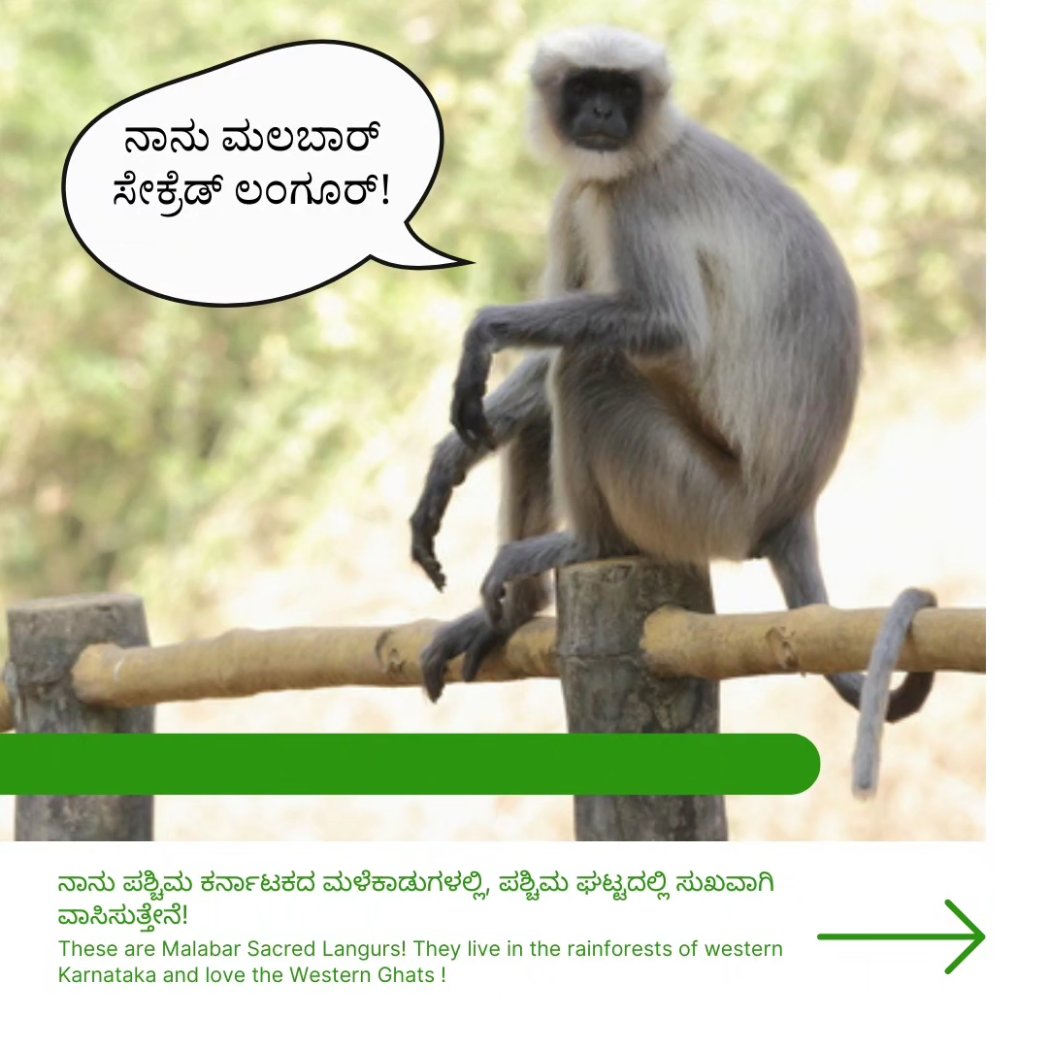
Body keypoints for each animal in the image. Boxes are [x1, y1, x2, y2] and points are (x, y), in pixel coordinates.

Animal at [409, 25, 935, 796]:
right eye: (584, 88)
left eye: (622, 91)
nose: (602, 113)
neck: (654, 148)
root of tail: (789, 510)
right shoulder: (583, 191)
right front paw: (451, 458)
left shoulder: (632, 199)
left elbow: (666, 328)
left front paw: (485, 333)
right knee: (559, 389)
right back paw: (515, 615)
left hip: (699, 501)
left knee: (589, 369)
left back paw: (590, 545)